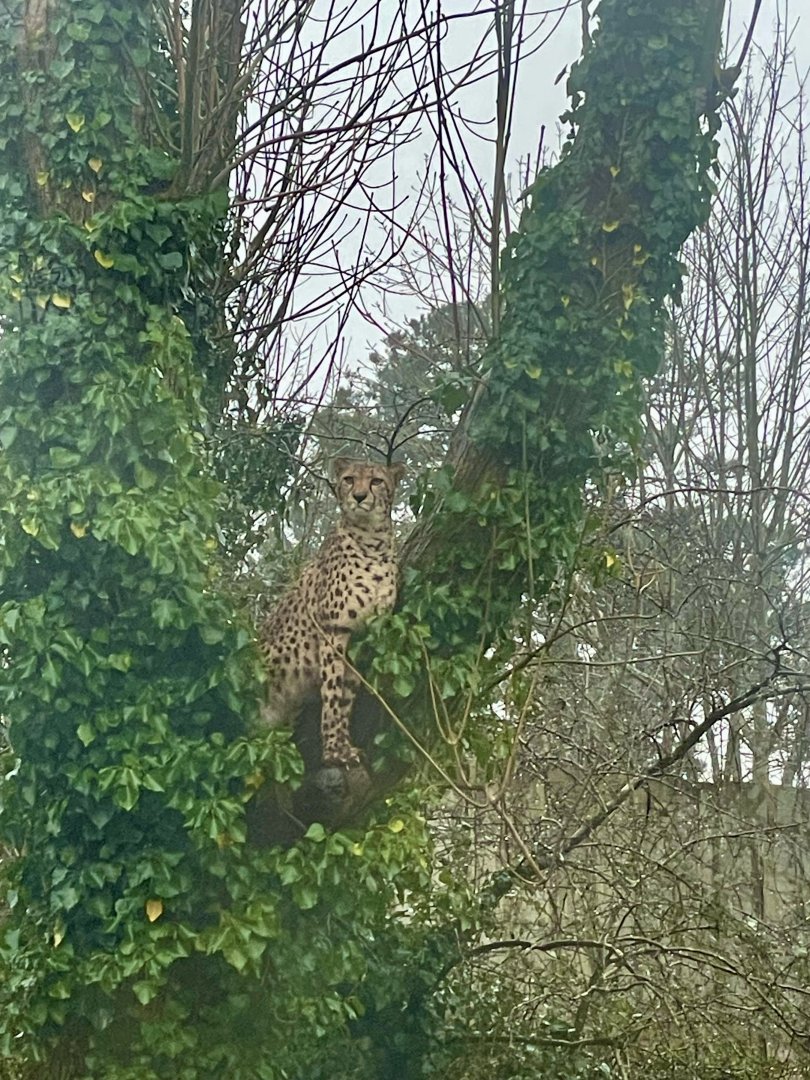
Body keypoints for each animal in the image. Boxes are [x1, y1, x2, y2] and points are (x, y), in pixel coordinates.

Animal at [258, 458, 405, 769]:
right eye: (349, 479)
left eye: (376, 481)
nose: (359, 497)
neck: (372, 542)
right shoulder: (332, 631)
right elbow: (333, 693)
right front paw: (334, 752)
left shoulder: (361, 635)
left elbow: (347, 694)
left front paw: (343, 744)